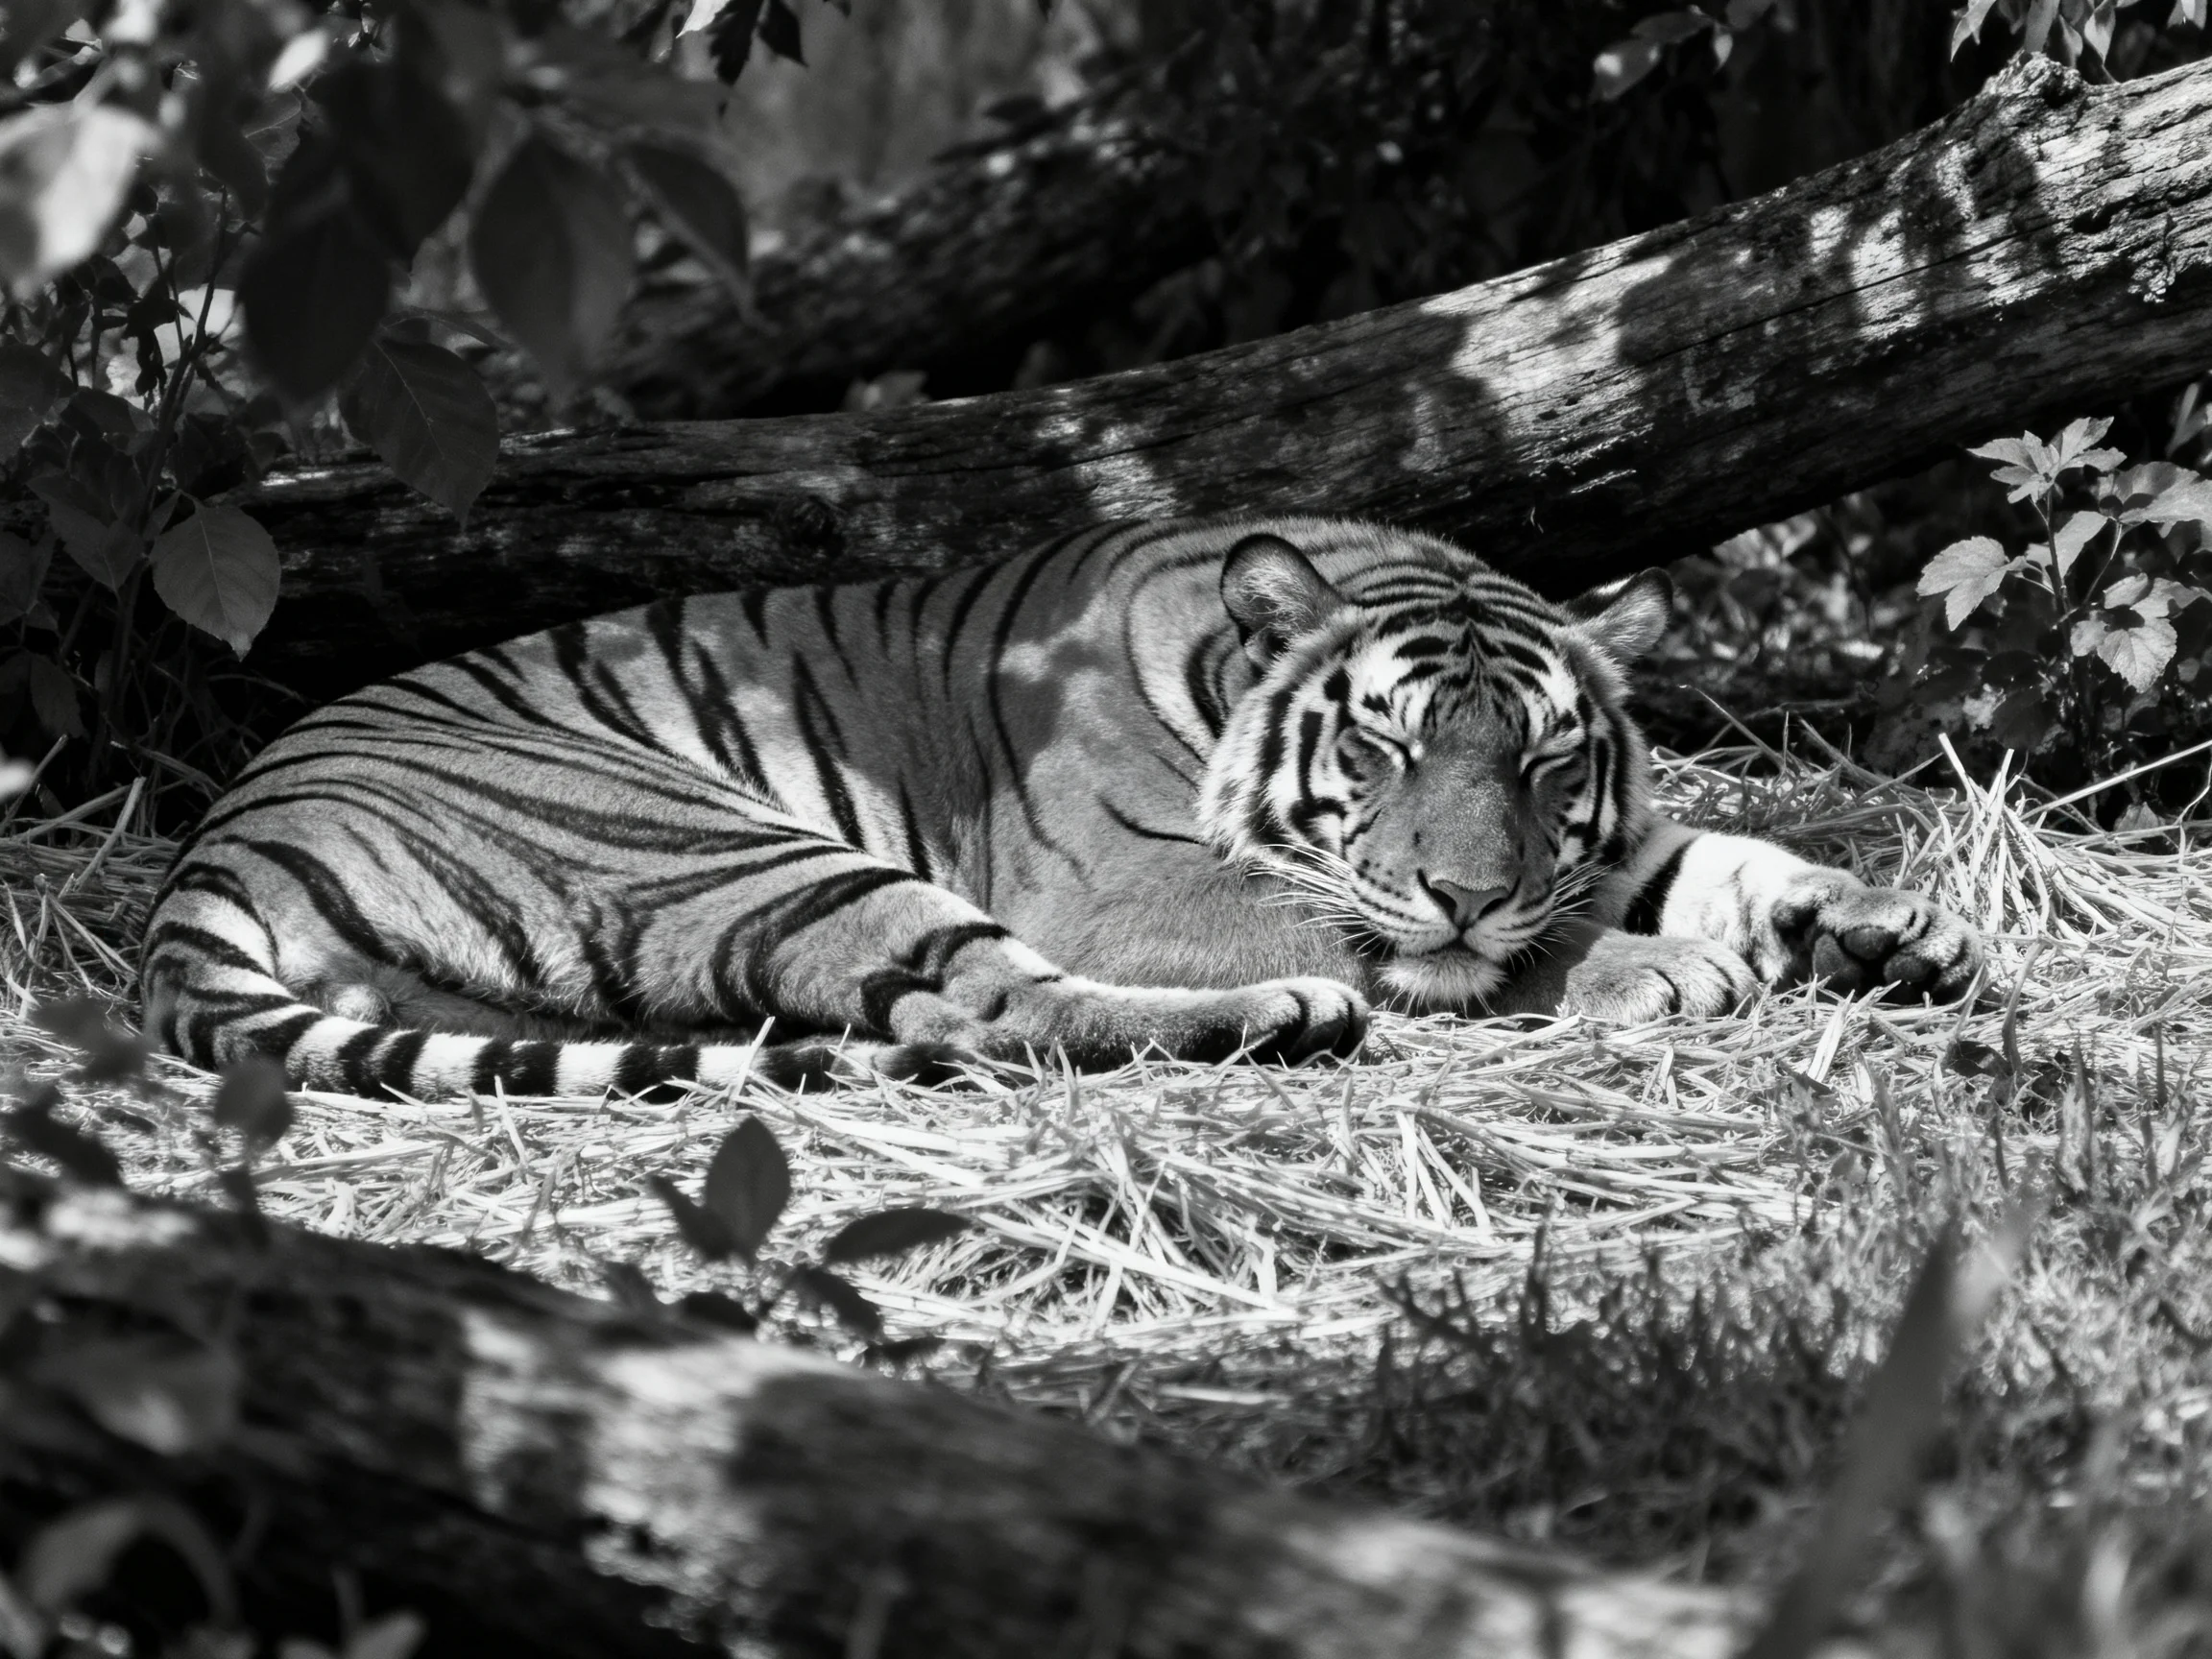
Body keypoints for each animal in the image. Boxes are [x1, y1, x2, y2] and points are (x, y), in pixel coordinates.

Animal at [140, 516, 1982, 1101]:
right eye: (1384, 753)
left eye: (1538, 764)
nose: (1464, 885)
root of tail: (226, 832)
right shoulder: (1123, 889)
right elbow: (1458, 943)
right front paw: (1651, 971)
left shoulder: (1591, 844)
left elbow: (1713, 855)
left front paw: (1897, 926)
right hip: (716, 835)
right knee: (989, 1005)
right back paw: (1285, 1015)